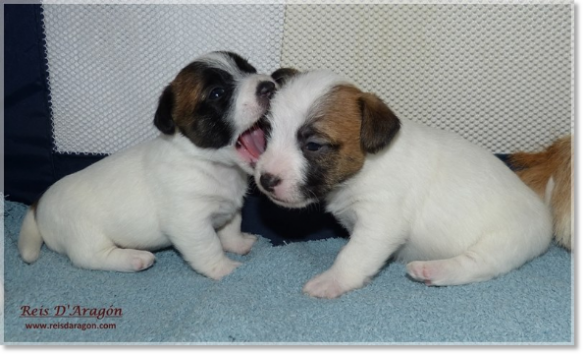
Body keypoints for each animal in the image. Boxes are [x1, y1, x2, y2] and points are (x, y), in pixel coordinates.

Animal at [17, 50, 274, 278]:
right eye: (217, 93)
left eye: (249, 69)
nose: (269, 86)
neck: (208, 163)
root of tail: (39, 204)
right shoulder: (190, 223)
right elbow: (209, 248)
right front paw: (225, 270)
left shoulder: (230, 210)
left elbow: (231, 229)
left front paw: (239, 244)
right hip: (86, 236)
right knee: (91, 257)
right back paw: (135, 258)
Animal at [256, 69, 552, 298]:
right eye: (268, 133)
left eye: (314, 145)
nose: (265, 179)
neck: (367, 165)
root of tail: (544, 213)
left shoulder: (380, 223)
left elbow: (352, 256)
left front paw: (332, 280)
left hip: (500, 244)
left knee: (475, 265)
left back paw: (431, 270)